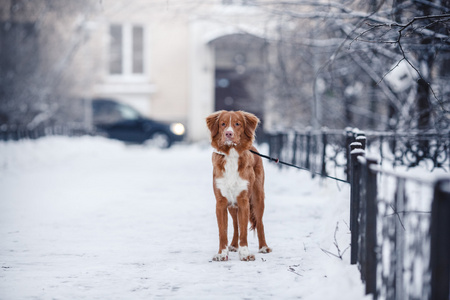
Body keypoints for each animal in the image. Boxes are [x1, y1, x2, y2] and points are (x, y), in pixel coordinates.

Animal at [207, 110, 270, 260]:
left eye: (237, 124)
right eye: (223, 124)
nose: (228, 134)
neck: (231, 154)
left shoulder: (243, 200)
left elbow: (244, 231)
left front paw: (245, 253)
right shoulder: (221, 202)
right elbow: (223, 231)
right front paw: (222, 254)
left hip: (257, 197)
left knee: (259, 222)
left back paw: (263, 247)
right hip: (232, 205)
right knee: (236, 225)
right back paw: (234, 245)